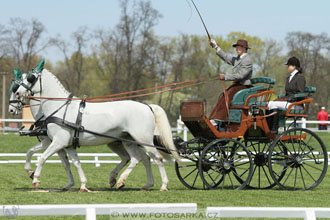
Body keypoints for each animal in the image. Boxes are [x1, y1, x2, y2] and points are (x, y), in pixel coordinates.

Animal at [14, 64, 182, 191]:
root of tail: (147, 106)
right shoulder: (67, 145)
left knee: (155, 158)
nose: (17, 94)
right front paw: (82, 186)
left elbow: (42, 158)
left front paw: (35, 179)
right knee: (140, 158)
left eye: (30, 78)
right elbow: (74, 164)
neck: (60, 107)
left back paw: (162, 185)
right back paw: (135, 183)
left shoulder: (58, 142)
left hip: (144, 139)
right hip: (128, 141)